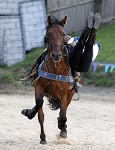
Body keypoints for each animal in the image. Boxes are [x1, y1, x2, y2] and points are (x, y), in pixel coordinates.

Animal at [21, 16, 75, 144]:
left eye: (62, 33)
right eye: (48, 34)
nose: (56, 55)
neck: (56, 70)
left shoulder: (65, 93)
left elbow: (63, 115)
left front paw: (63, 128)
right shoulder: (39, 88)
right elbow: (39, 108)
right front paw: (42, 137)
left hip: (70, 95)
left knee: (63, 110)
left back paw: (63, 128)